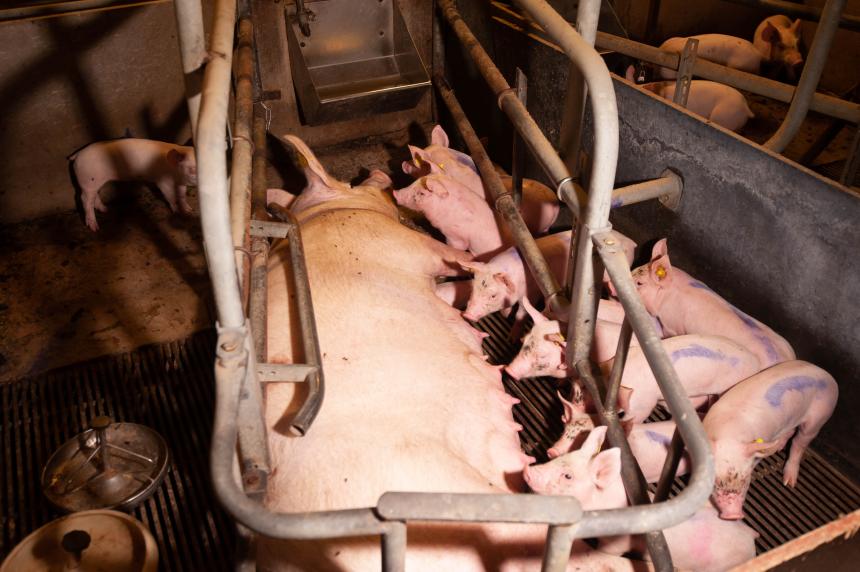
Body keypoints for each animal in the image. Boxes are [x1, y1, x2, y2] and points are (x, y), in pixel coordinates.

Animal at [525, 427, 758, 571]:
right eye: (562, 458)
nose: (528, 470)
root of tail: (751, 536)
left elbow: (606, 552)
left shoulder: (616, 544)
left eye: (568, 476)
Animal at [705, 360, 838, 520]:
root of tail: (828, 375)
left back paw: (788, 482)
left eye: (746, 478)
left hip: (819, 416)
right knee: (790, 432)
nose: (733, 515)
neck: (729, 434)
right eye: (715, 481)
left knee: (799, 442)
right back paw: (779, 447)